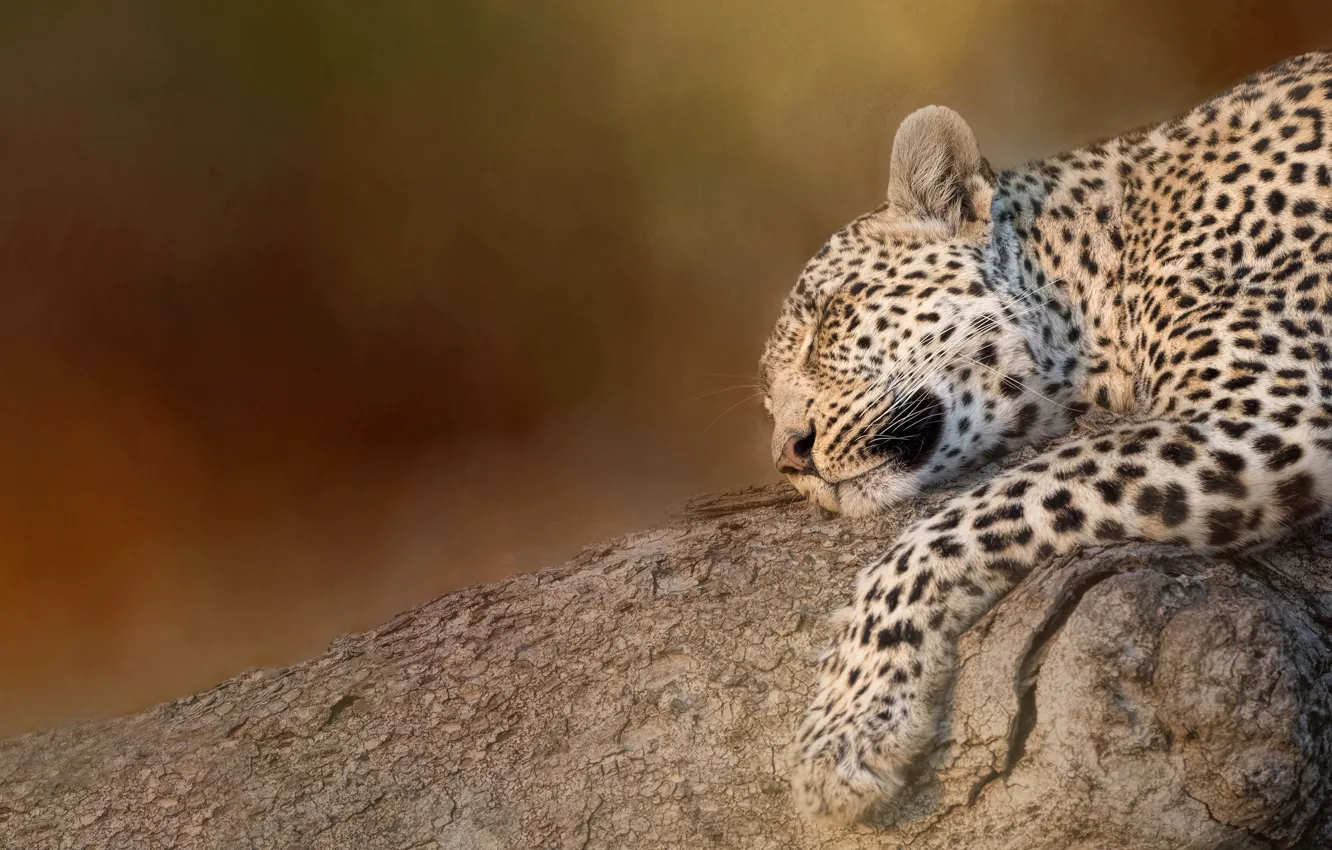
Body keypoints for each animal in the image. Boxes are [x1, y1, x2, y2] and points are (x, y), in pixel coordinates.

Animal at [758, 50, 1332, 825]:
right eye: (766, 402)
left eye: (828, 320)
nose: (789, 454)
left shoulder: (1267, 410)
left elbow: (957, 523)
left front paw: (850, 723)